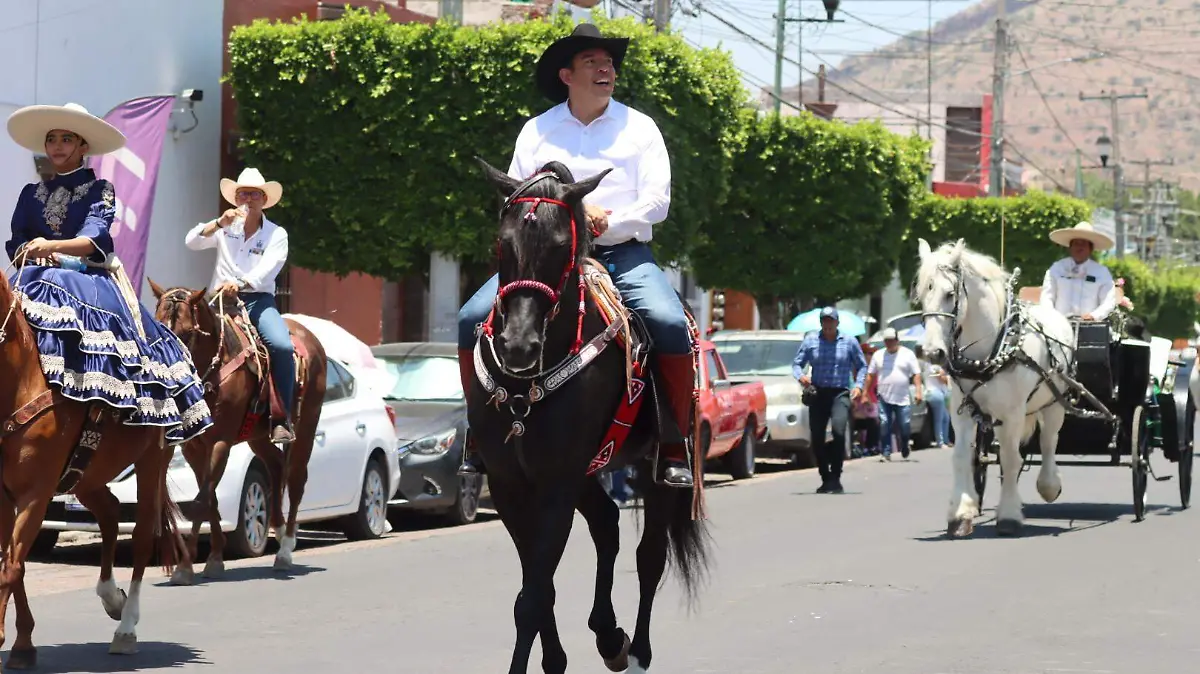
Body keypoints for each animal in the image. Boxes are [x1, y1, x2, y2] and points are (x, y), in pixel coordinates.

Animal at [0, 269, 182, 662]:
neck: (20, 382)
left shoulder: (35, 494)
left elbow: (11, 566)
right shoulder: (4, 497)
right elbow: (13, 565)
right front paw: (23, 644)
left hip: (152, 461)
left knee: (142, 537)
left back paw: (126, 628)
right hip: (86, 476)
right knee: (111, 513)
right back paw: (111, 597)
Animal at [150, 280, 328, 580]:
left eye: (187, 333)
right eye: (158, 327)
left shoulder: (220, 442)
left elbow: (201, 501)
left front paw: (188, 566)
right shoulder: (193, 447)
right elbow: (209, 498)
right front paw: (212, 558)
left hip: (306, 425)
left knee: (296, 479)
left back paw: (285, 549)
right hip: (259, 435)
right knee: (276, 465)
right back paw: (278, 529)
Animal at [470, 158, 710, 671]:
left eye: (562, 246)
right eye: (503, 242)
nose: (518, 347)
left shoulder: (557, 483)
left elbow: (534, 595)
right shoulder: (509, 485)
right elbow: (536, 590)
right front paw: (556, 659)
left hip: (654, 467)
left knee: (649, 555)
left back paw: (635, 649)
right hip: (588, 471)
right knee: (606, 524)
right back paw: (608, 635)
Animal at [907, 237, 1080, 534]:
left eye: (949, 294)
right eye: (921, 294)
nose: (930, 352)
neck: (991, 349)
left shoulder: (1013, 413)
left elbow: (1011, 459)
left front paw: (1009, 515)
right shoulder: (962, 410)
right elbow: (962, 457)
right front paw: (961, 513)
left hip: (1054, 402)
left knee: (1048, 441)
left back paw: (1049, 484)